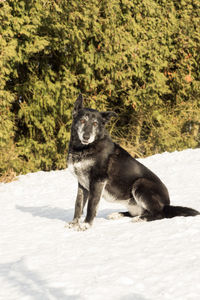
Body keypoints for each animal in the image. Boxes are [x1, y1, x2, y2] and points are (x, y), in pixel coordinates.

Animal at [66, 95, 199, 231]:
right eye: (82, 121)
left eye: (95, 123)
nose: (86, 137)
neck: (83, 149)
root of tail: (167, 204)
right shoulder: (82, 184)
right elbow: (78, 205)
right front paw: (74, 223)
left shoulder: (98, 180)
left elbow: (91, 206)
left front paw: (86, 224)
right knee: (137, 212)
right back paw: (117, 214)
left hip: (140, 183)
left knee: (158, 214)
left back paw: (140, 219)